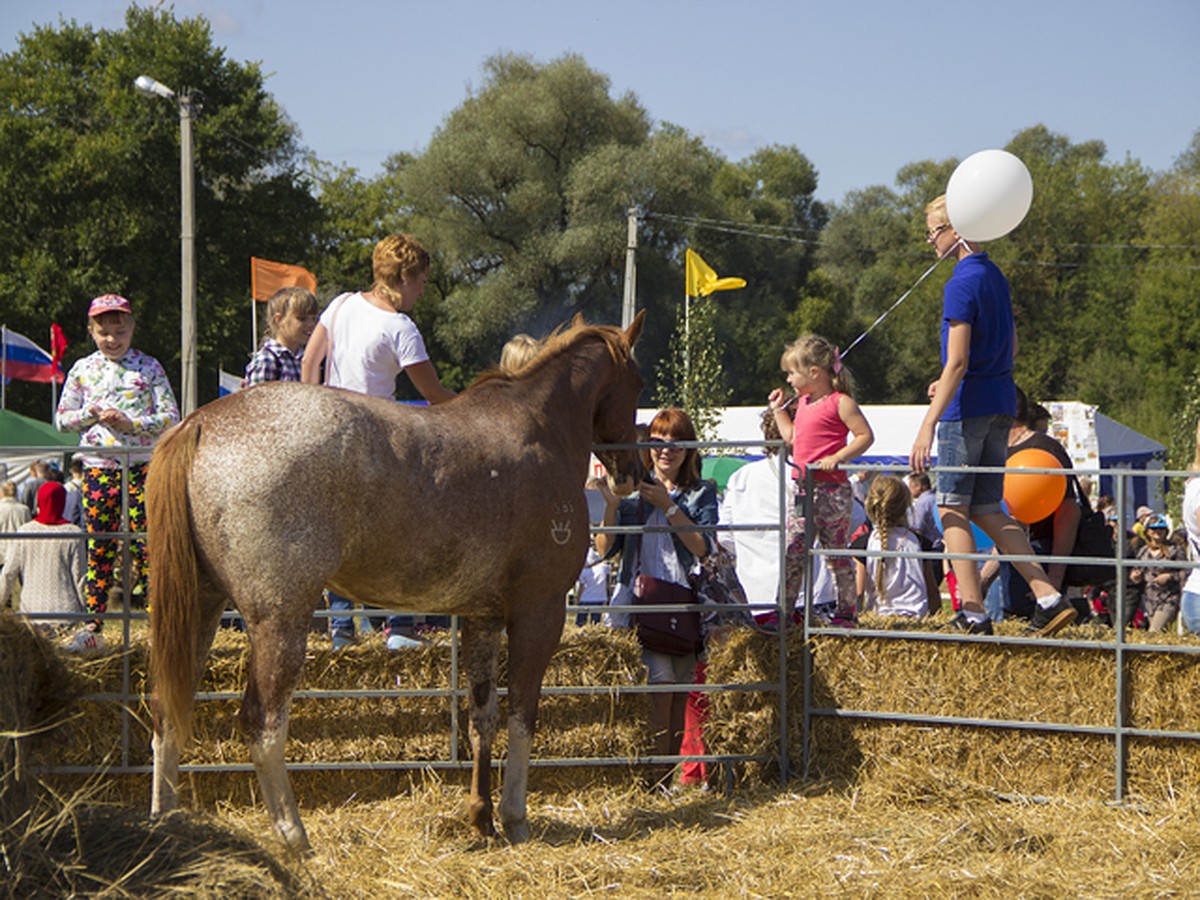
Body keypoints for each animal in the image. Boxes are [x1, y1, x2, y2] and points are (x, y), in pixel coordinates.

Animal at [147, 314, 648, 854]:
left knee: (167, 713)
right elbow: (522, 716)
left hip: (200, 608)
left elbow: (484, 716)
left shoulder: (484, 618)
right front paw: (514, 818)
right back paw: (294, 835)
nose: (631, 473)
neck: (538, 428)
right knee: (263, 725)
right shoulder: (540, 612)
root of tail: (200, 423)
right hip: (279, 622)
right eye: (637, 385)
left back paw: (166, 825)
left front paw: (481, 816)